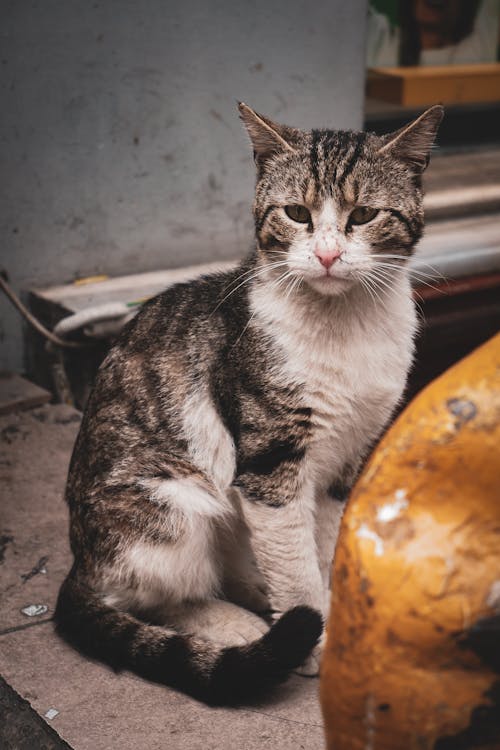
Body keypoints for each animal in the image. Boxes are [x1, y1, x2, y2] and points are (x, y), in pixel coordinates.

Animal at [56, 100, 444, 704]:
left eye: (363, 215)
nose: (328, 254)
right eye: (296, 213)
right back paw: (236, 625)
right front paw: (315, 636)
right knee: (144, 597)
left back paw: (259, 593)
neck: (344, 327)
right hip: (174, 505)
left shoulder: (346, 460)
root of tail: (81, 559)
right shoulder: (271, 462)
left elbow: (320, 548)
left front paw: (331, 613)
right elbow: (296, 564)